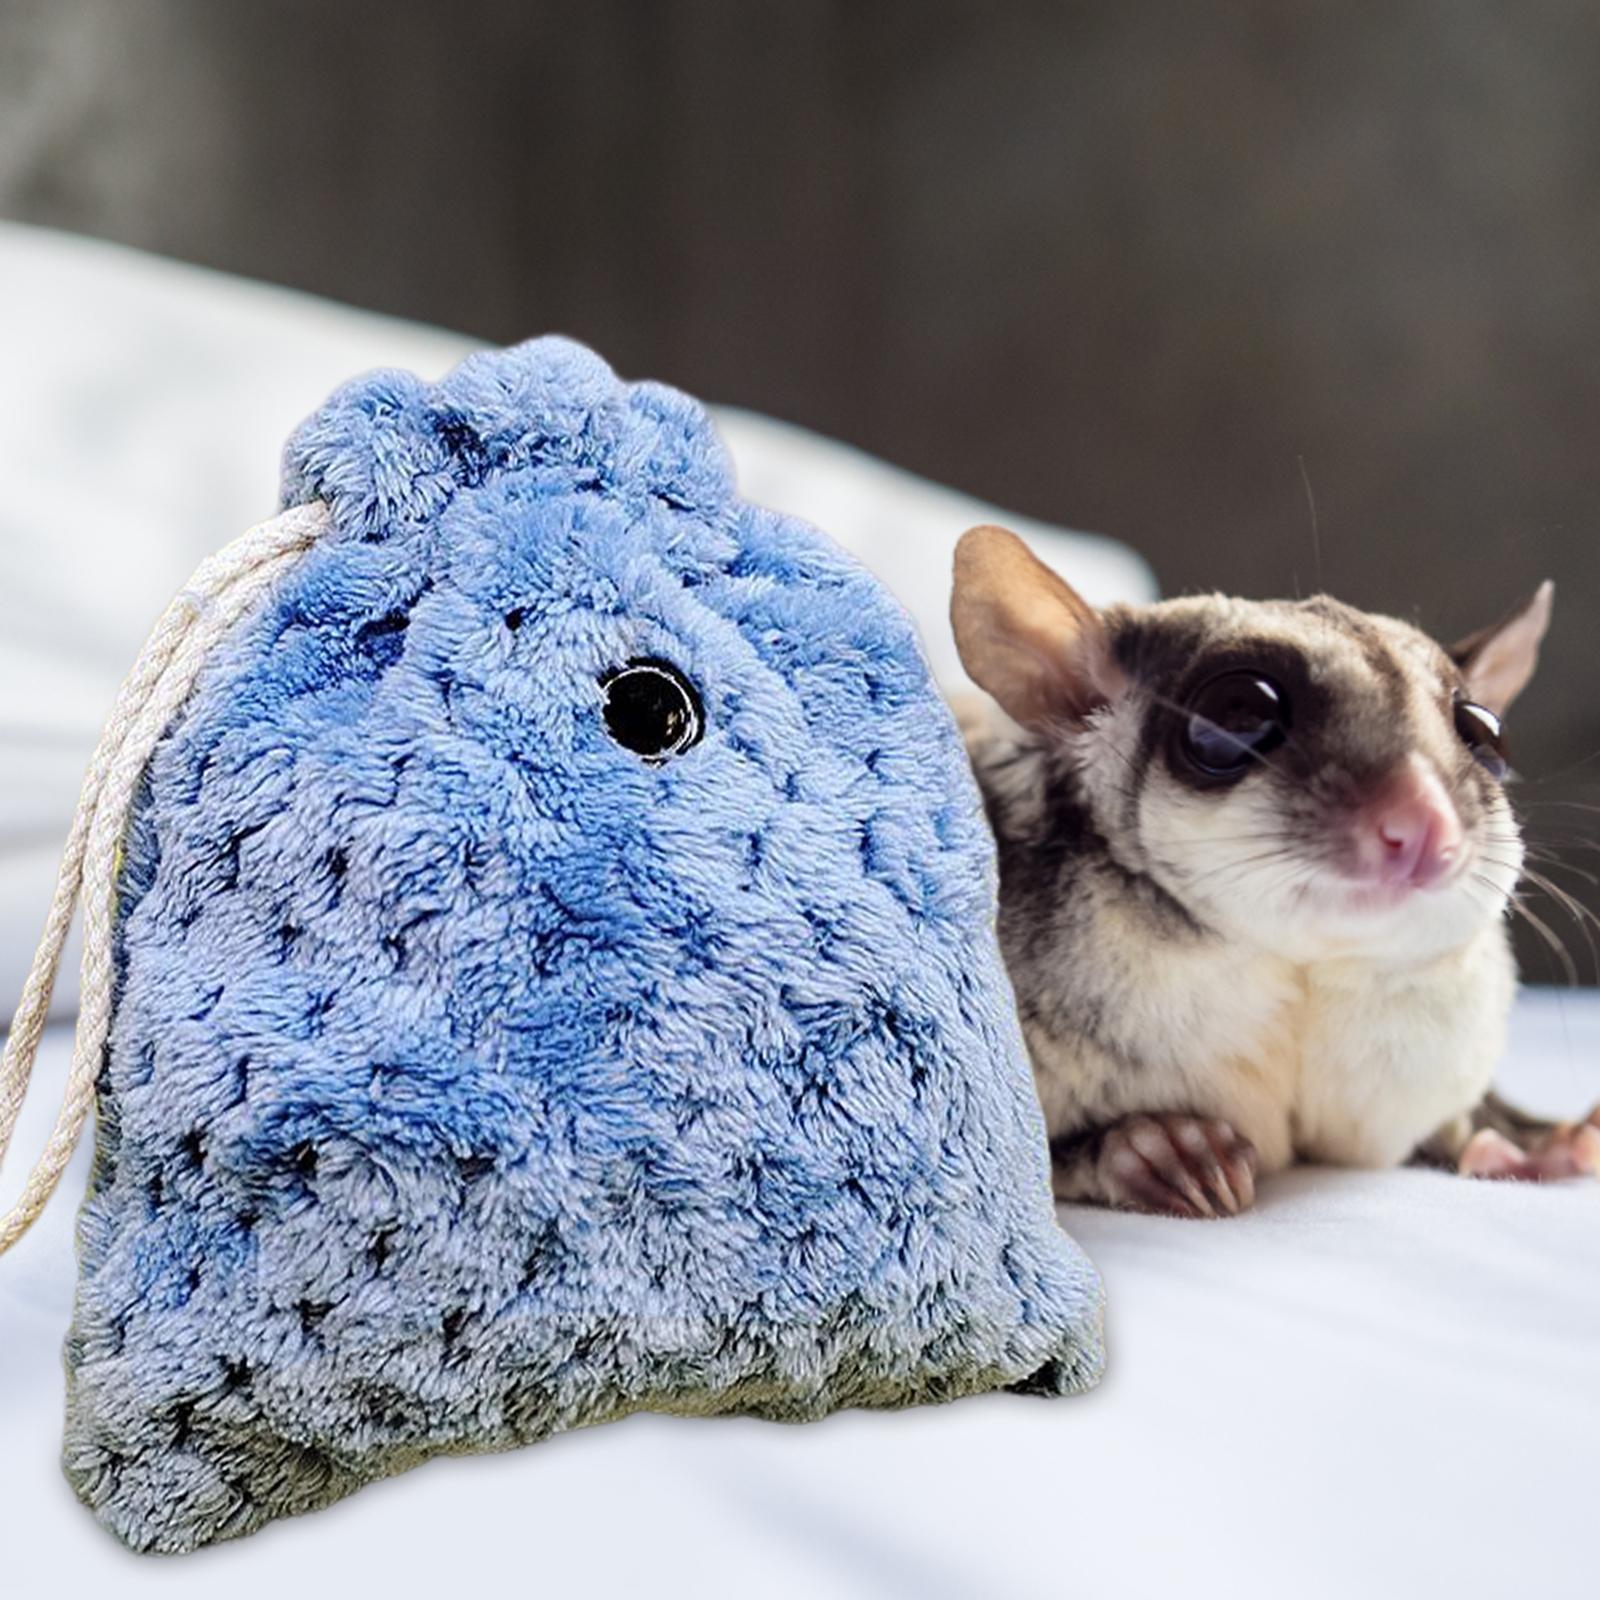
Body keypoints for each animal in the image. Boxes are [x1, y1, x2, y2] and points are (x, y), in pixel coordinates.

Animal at [949, 522, 1600, 1216]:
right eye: (1236, 716)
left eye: (1488, 735)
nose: (1428, 825)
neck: (1299, 969)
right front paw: (1160, 1150)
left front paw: (1535, 1144)